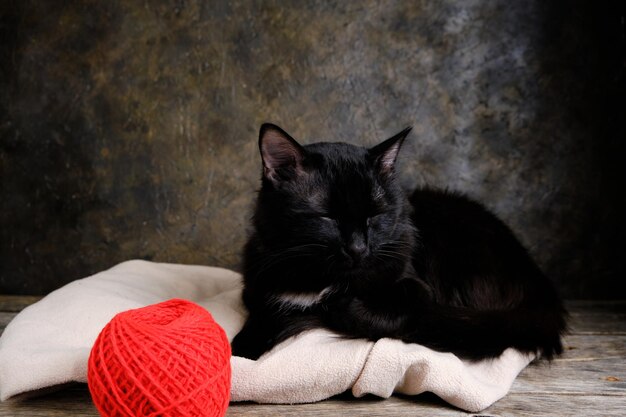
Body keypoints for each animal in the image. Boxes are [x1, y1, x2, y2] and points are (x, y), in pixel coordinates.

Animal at [230, 123, 564, 360]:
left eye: (375, 215)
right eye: (328, 217)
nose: (358, 248)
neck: (320, 278)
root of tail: (541, 286)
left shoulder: (416, 288)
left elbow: (364, 312)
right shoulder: (257, 282)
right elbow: (264, 311)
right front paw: (242, 349)